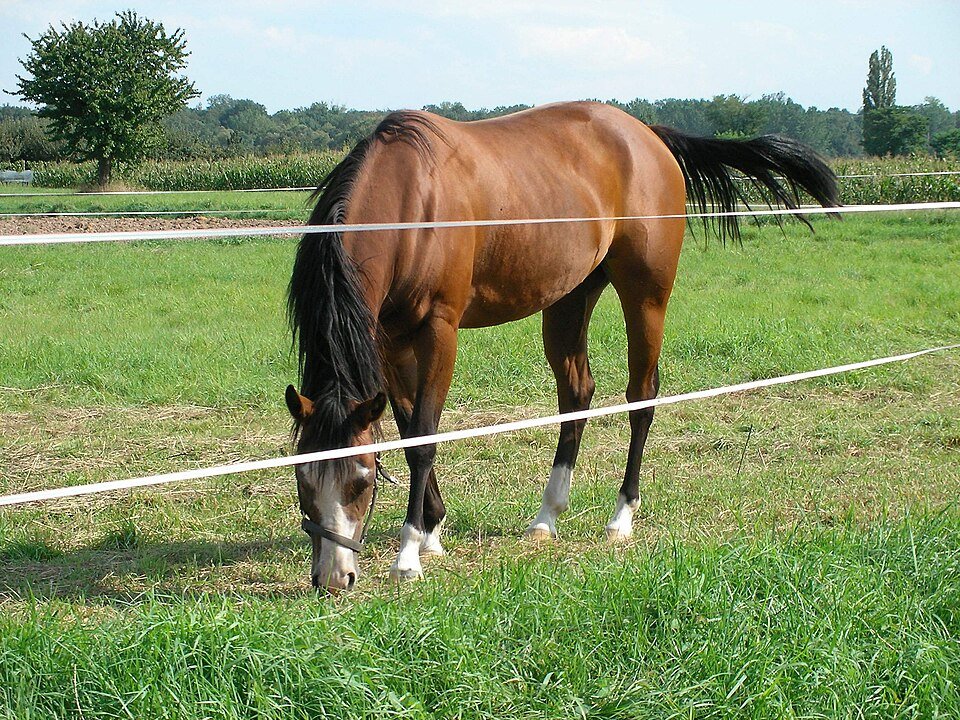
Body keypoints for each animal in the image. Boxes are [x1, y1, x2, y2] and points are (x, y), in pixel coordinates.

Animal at [285, 101, 838, 593]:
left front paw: (410, 552)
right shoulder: (389, 338)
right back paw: (547, 515)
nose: (333, 579)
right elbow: (404, 430)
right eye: (302, 482)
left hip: (646, 296)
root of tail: (648, 134)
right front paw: (434, 528)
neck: (409, 204)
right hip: (571, 297)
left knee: (641, 397)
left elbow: (423, 436)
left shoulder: (439, 329)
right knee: (577, 394)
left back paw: (621, 516)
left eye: (361, 481)